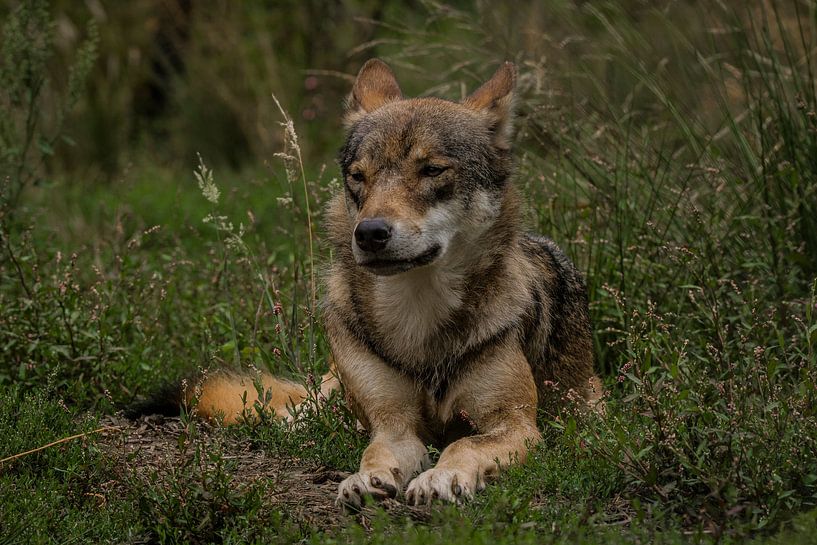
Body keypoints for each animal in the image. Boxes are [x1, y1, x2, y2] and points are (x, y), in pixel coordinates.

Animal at [140, 59, 603, 509]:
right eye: (359, 176)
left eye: (431, 170)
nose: (369, 233)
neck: (417, 315)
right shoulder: (392, 425)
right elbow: (375, 451)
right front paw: (365, 480)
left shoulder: (517, 425)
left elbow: (463, 446)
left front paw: (441, 478)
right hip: (323, 395)